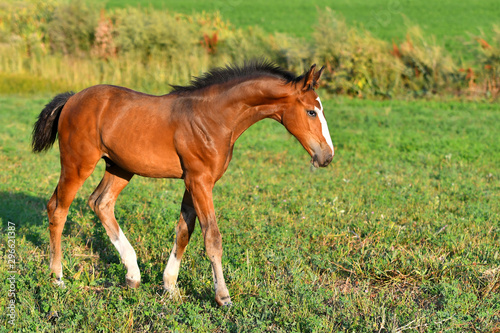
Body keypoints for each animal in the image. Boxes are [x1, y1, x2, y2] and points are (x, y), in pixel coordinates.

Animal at [33, 61, 334, 304]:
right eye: (311, 112)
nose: (327, 156)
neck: (214, 118)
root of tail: (72, 99)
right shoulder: (200, 181)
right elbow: (212, 237)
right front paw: (223, 296)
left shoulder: (193, 182)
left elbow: (183, 231)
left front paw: (170, 287)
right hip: (77, 164)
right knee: (58, 208)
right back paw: (57, 278)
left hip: (120, 167)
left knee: (101, 203)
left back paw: (133, 275)